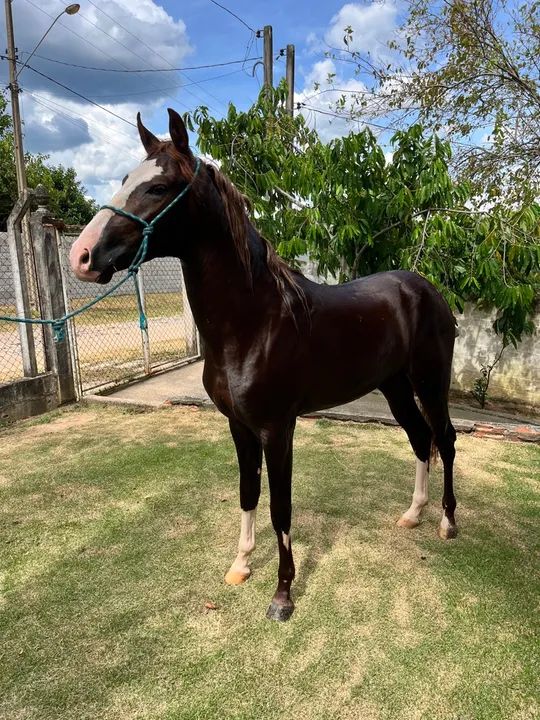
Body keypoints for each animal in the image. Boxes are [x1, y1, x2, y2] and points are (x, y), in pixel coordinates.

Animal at [70, 109, 458, 622]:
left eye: (158, 187)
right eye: (123, 179)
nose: (82, 256)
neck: (254, 323)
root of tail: (426, 289)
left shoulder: (278, 428)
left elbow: (281, 508)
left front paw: (282, 595)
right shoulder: (239, 426)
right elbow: (247, 492)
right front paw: (240, 566)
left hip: (430, 382)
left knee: (445, 440)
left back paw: (448, 523)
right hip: (395, 386)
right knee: (419, 439)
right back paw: (413, 514)